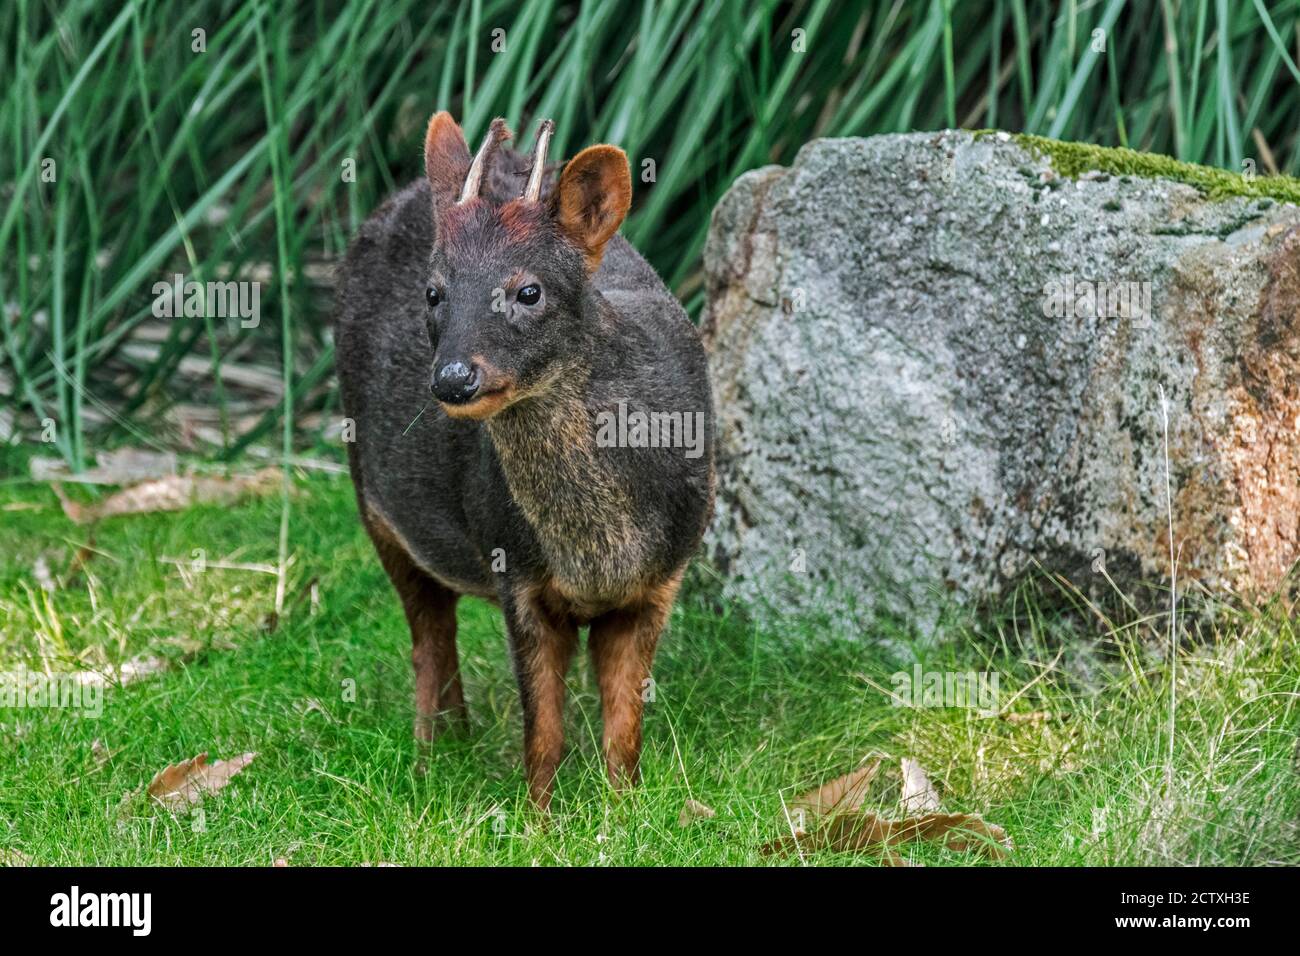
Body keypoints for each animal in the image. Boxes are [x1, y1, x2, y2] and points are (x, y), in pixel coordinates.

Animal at [335, 112, 715, 810]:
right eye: (434, 293)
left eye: (528, 291)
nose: (453, 378)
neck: (599, 550)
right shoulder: (515, 569)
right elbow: (543, 733)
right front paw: (537, 817)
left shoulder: (661, 578)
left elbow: (624, 728)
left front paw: (624, 810)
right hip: (375, 505)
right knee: (430, 638)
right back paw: (429, 757)